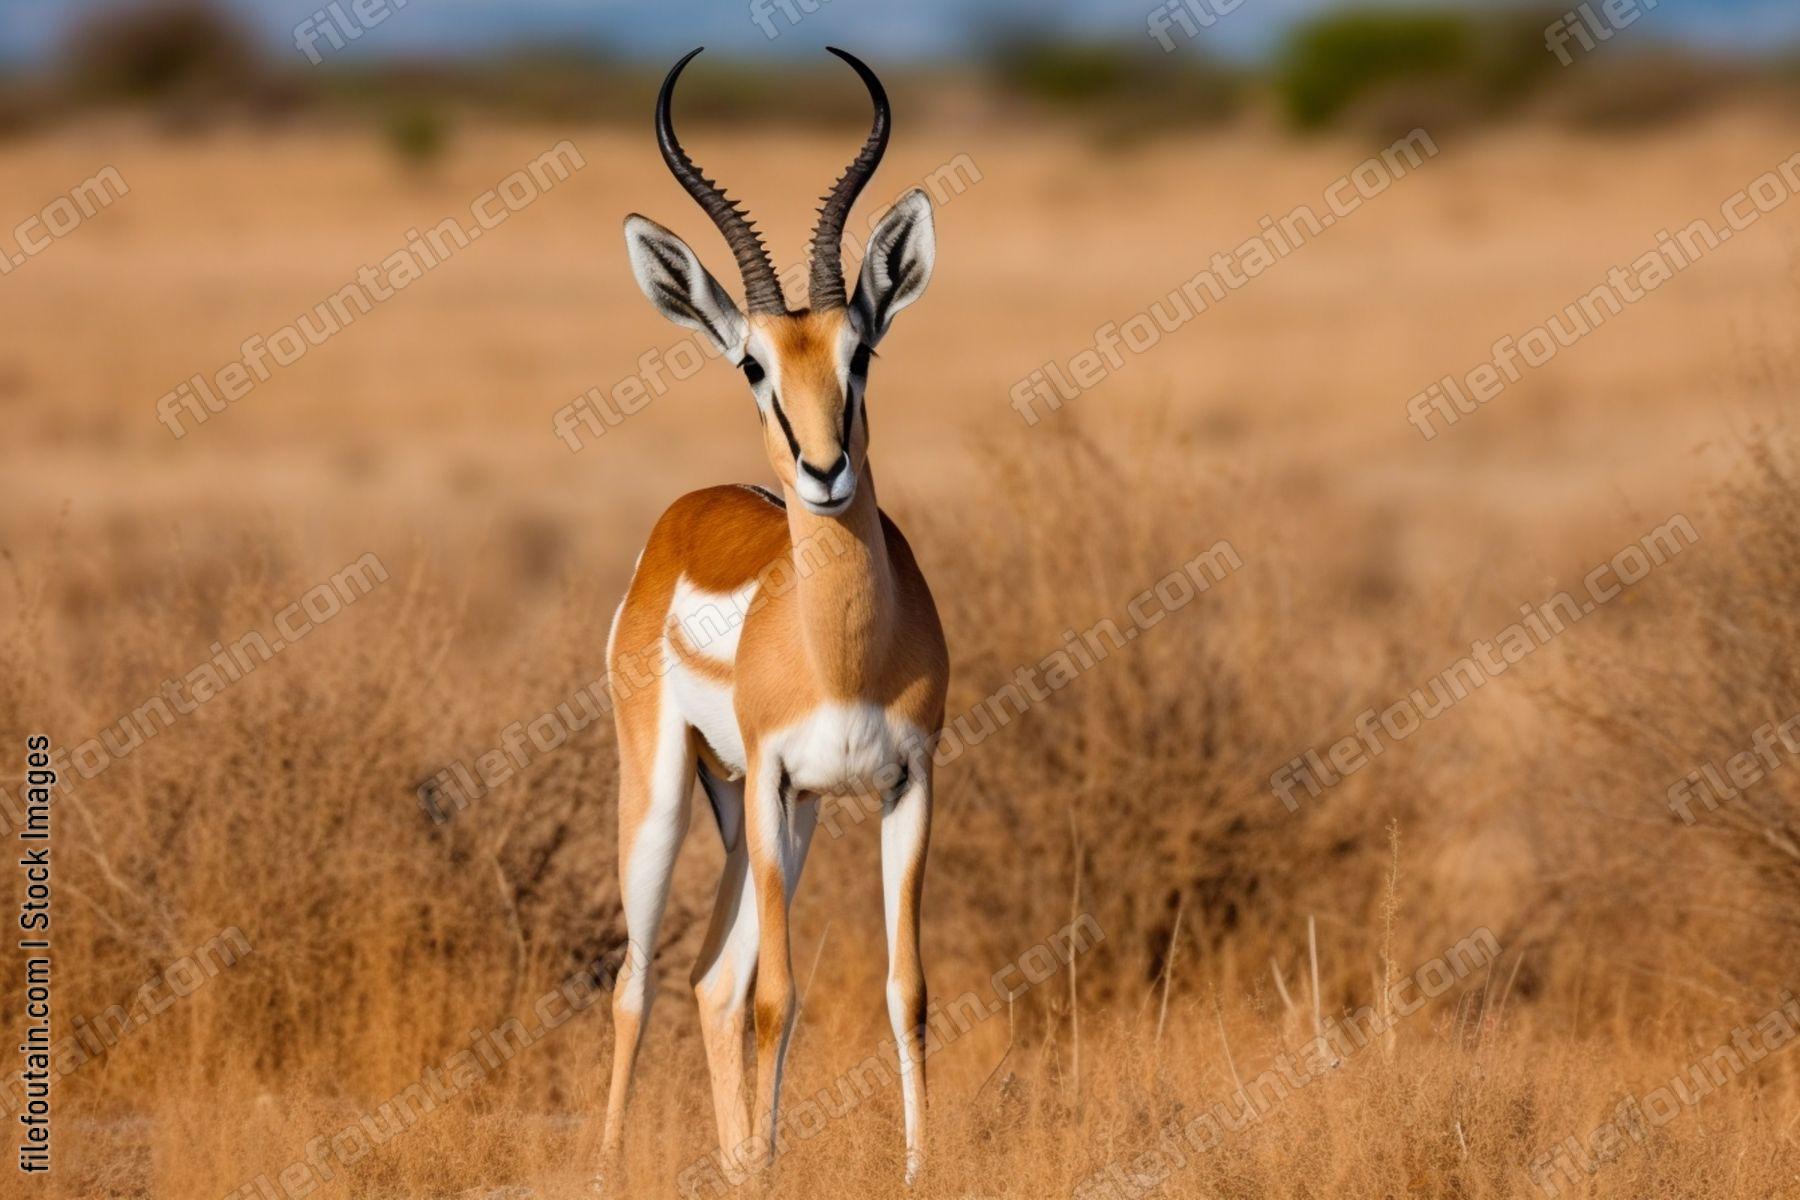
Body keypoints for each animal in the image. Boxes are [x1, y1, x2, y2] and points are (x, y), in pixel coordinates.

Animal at [599, 47, 946, 1186]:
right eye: (753, 363)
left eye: (861, 353)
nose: (825, 471)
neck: (839, 653)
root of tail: (690, 510)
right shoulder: (774, 776)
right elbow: (779, 998)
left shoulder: (906, 783)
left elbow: (905, 990)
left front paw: (919, 1171)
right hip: (675, 795)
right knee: (639, 982)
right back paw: (612, 1170)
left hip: (773, 819)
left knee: (710, 977)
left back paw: (740, 1161)